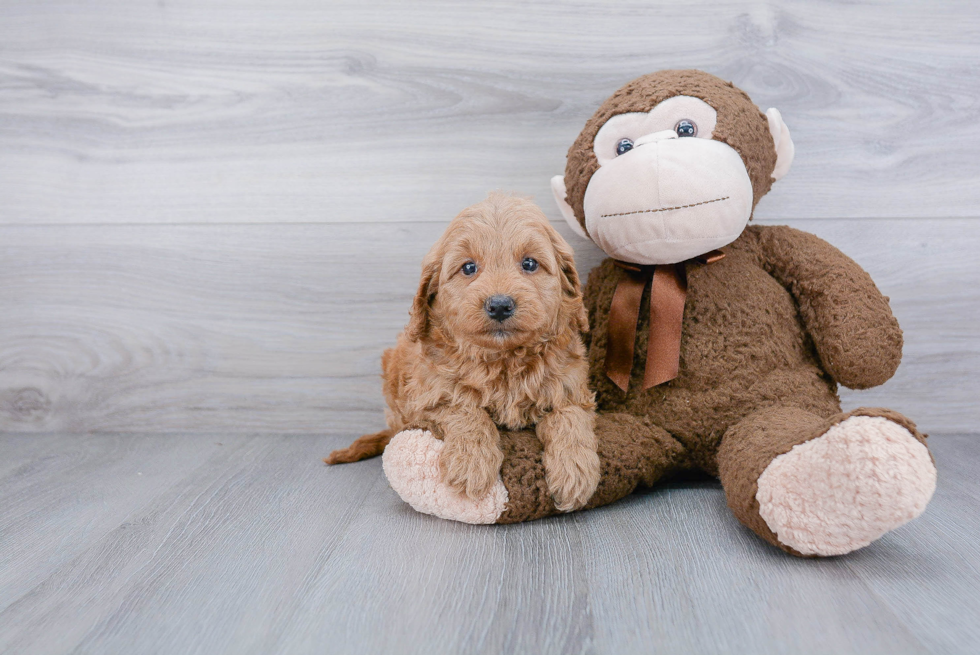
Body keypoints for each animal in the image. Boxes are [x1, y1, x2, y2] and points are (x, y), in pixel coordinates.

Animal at [330, 192, 600, 510]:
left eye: (530, 263)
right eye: (469, 268)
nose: (500, 305)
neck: (503, 359)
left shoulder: (571, 387)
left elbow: (570, 417)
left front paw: (575, 471)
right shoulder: (427, 395)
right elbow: (464, 408)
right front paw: (471, 463)